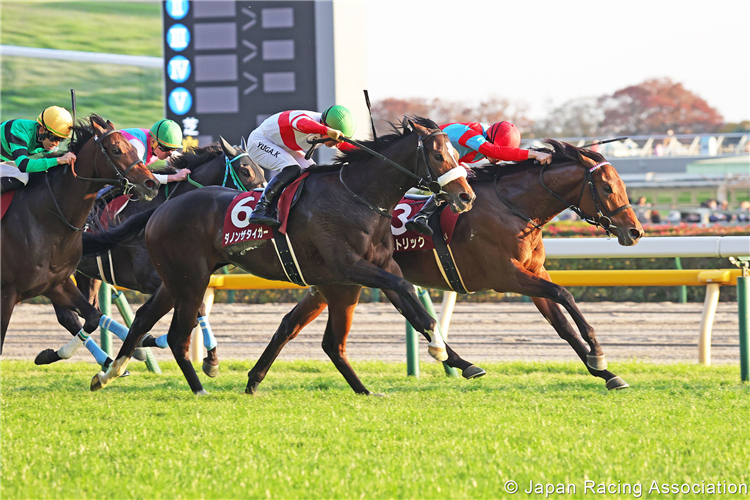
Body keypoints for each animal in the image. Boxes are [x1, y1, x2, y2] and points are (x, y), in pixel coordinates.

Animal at [0, 114, 159, 356]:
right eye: (116, 150)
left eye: (133, 148)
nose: (152, 184)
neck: (45, 220)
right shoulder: (7, 294)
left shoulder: (56, 284)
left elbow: (92, 317)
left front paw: (51, 355)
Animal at [36, 139, 270, 370]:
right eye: (245, 171)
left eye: (261, 170)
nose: (262, 200)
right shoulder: (150, 279)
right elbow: (199, 309)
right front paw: (209, 357)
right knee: (69, 316)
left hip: (87, 274)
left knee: (89, 310)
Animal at [247, 139, 648, 392]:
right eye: (608, 188)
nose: (635, 231)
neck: (513, 207)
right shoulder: (508, 277)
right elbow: (565, 294)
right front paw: (598, 352)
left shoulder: (533, 274)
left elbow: (562, 323)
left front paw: (606, 372)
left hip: (333, 280)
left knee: (290, 325)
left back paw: (254, 379)